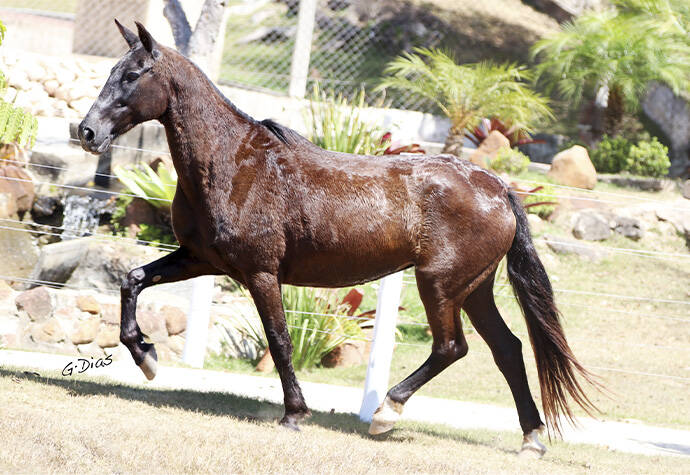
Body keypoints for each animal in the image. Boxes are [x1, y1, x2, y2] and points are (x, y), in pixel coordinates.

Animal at [78, 20, 592, 460]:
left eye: (131, 75)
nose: (86, 131)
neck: (235, 164)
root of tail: (497, 186)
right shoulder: (200, 259)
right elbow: (132, 279)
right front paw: (146, 356)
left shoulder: (260, 273)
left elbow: (280, 340)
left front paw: (294, 414)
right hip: (474, 288)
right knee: (508, 349)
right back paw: (531, 439)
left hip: (440, 285)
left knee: (452, 348)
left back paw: (386, 412)